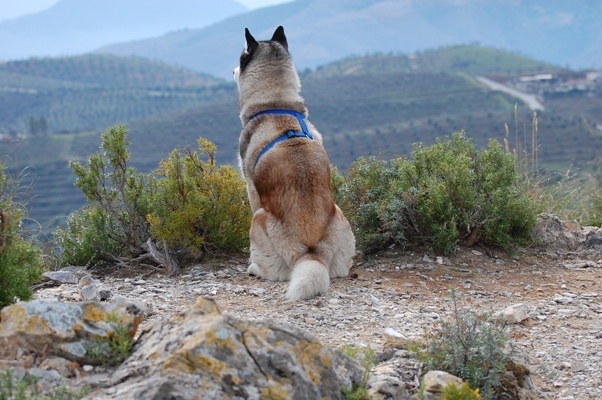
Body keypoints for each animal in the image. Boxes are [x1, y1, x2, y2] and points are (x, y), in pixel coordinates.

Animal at [233, 26, 355, 301]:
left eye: (241, 56)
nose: (232, 70)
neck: (276, 105)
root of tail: (311, 254)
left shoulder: (250, 188)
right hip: (342, 219)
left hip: (258, 220)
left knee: (270, 270)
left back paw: (253, 268)